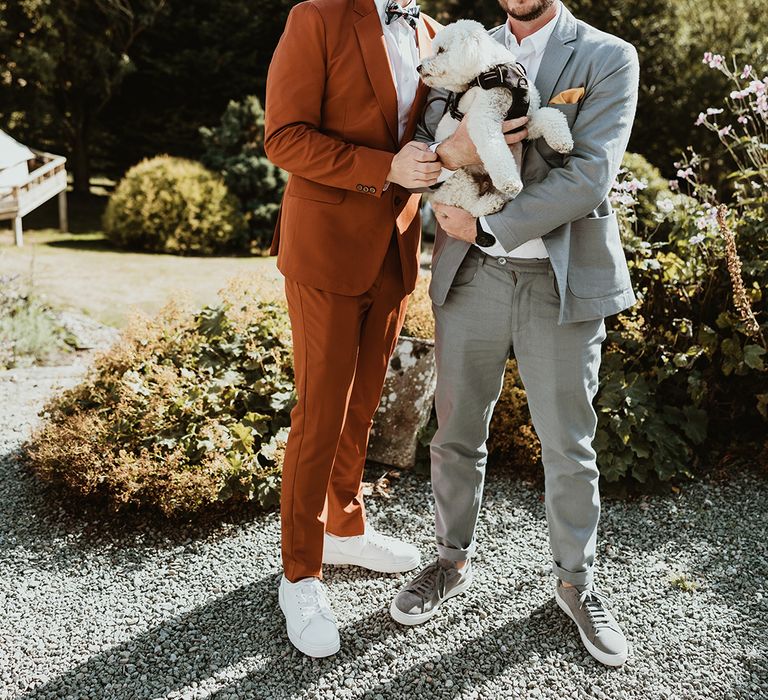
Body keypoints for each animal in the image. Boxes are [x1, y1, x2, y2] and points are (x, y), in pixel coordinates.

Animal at [420, 19, 576, 216]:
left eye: (440, 50)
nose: (419, 67)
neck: (497, 72)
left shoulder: (524, 122)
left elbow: (550, 115)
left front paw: (562, 141)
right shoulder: (484, 120)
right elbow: (495, 150)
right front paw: (509, 182)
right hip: (457, 179)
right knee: (468, 204)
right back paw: (489, 203)